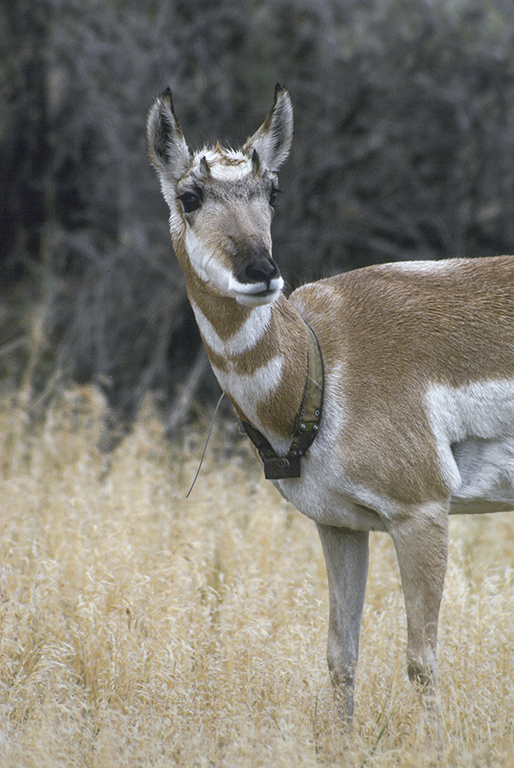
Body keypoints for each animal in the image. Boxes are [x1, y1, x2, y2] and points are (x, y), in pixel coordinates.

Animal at [145, 87, 514, 724]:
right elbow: (341, 658)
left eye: (271, 190)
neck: (321, 357)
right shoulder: (339, 524)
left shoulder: (422, 513)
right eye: (190, 197)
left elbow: (422, 662)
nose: (261, 272)